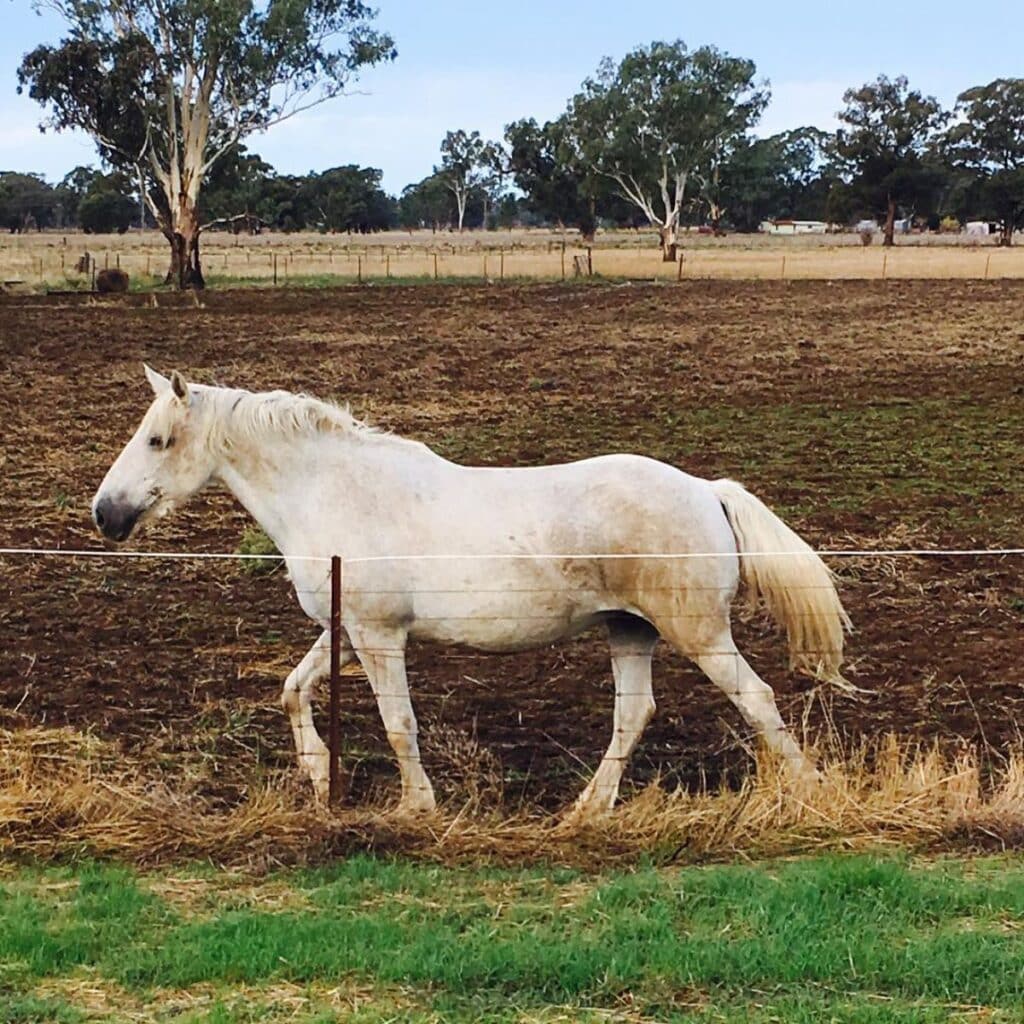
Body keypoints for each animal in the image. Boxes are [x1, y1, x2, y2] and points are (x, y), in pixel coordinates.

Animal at [92, 366, 850, 818]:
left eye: (157, 440)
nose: (105, 514)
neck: (335, 491)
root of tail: (707, 491)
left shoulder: (379, 637)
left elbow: (399, 723)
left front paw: (414, 807)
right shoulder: (344, 631)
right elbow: (292, 690)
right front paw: (320, 776)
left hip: (698, 634)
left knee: (756, 699)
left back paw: (814, 791)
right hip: (628, 631)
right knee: (635, 714)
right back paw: (585, 809)